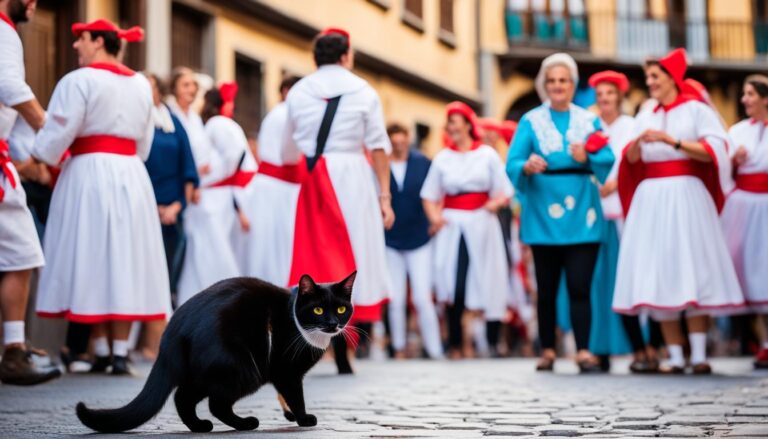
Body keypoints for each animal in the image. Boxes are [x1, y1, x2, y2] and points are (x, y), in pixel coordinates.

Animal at [75, 272, 356, 434]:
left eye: (341, 309)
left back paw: (199, 426)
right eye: (318, 310)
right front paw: (303, 418)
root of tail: (171, 332)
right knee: (216, 403)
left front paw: (289, 414)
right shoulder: (285, 371)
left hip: (205, 373)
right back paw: (245, 423)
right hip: (244, 368)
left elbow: (286, 396)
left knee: (182, 397)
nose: (333, 323)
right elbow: (296, 395)